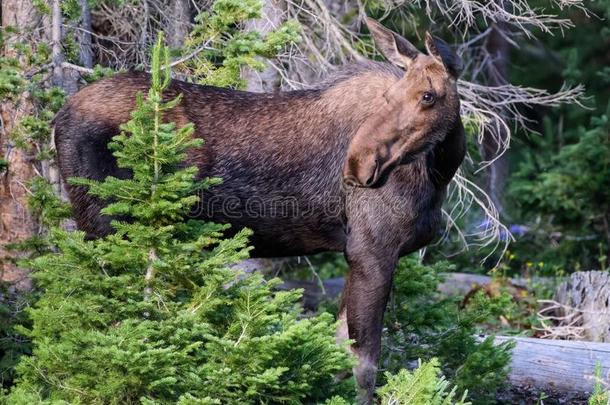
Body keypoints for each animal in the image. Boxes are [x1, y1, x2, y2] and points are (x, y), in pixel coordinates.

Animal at [54, 18, 464, 400]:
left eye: (428, 95)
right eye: (391, 94)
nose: (358, 164)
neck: (439, 172)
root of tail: (57, 118)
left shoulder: (360, 255)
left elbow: (340, 356)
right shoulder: (371, 250)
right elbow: (364, 366)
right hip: (108, 225)